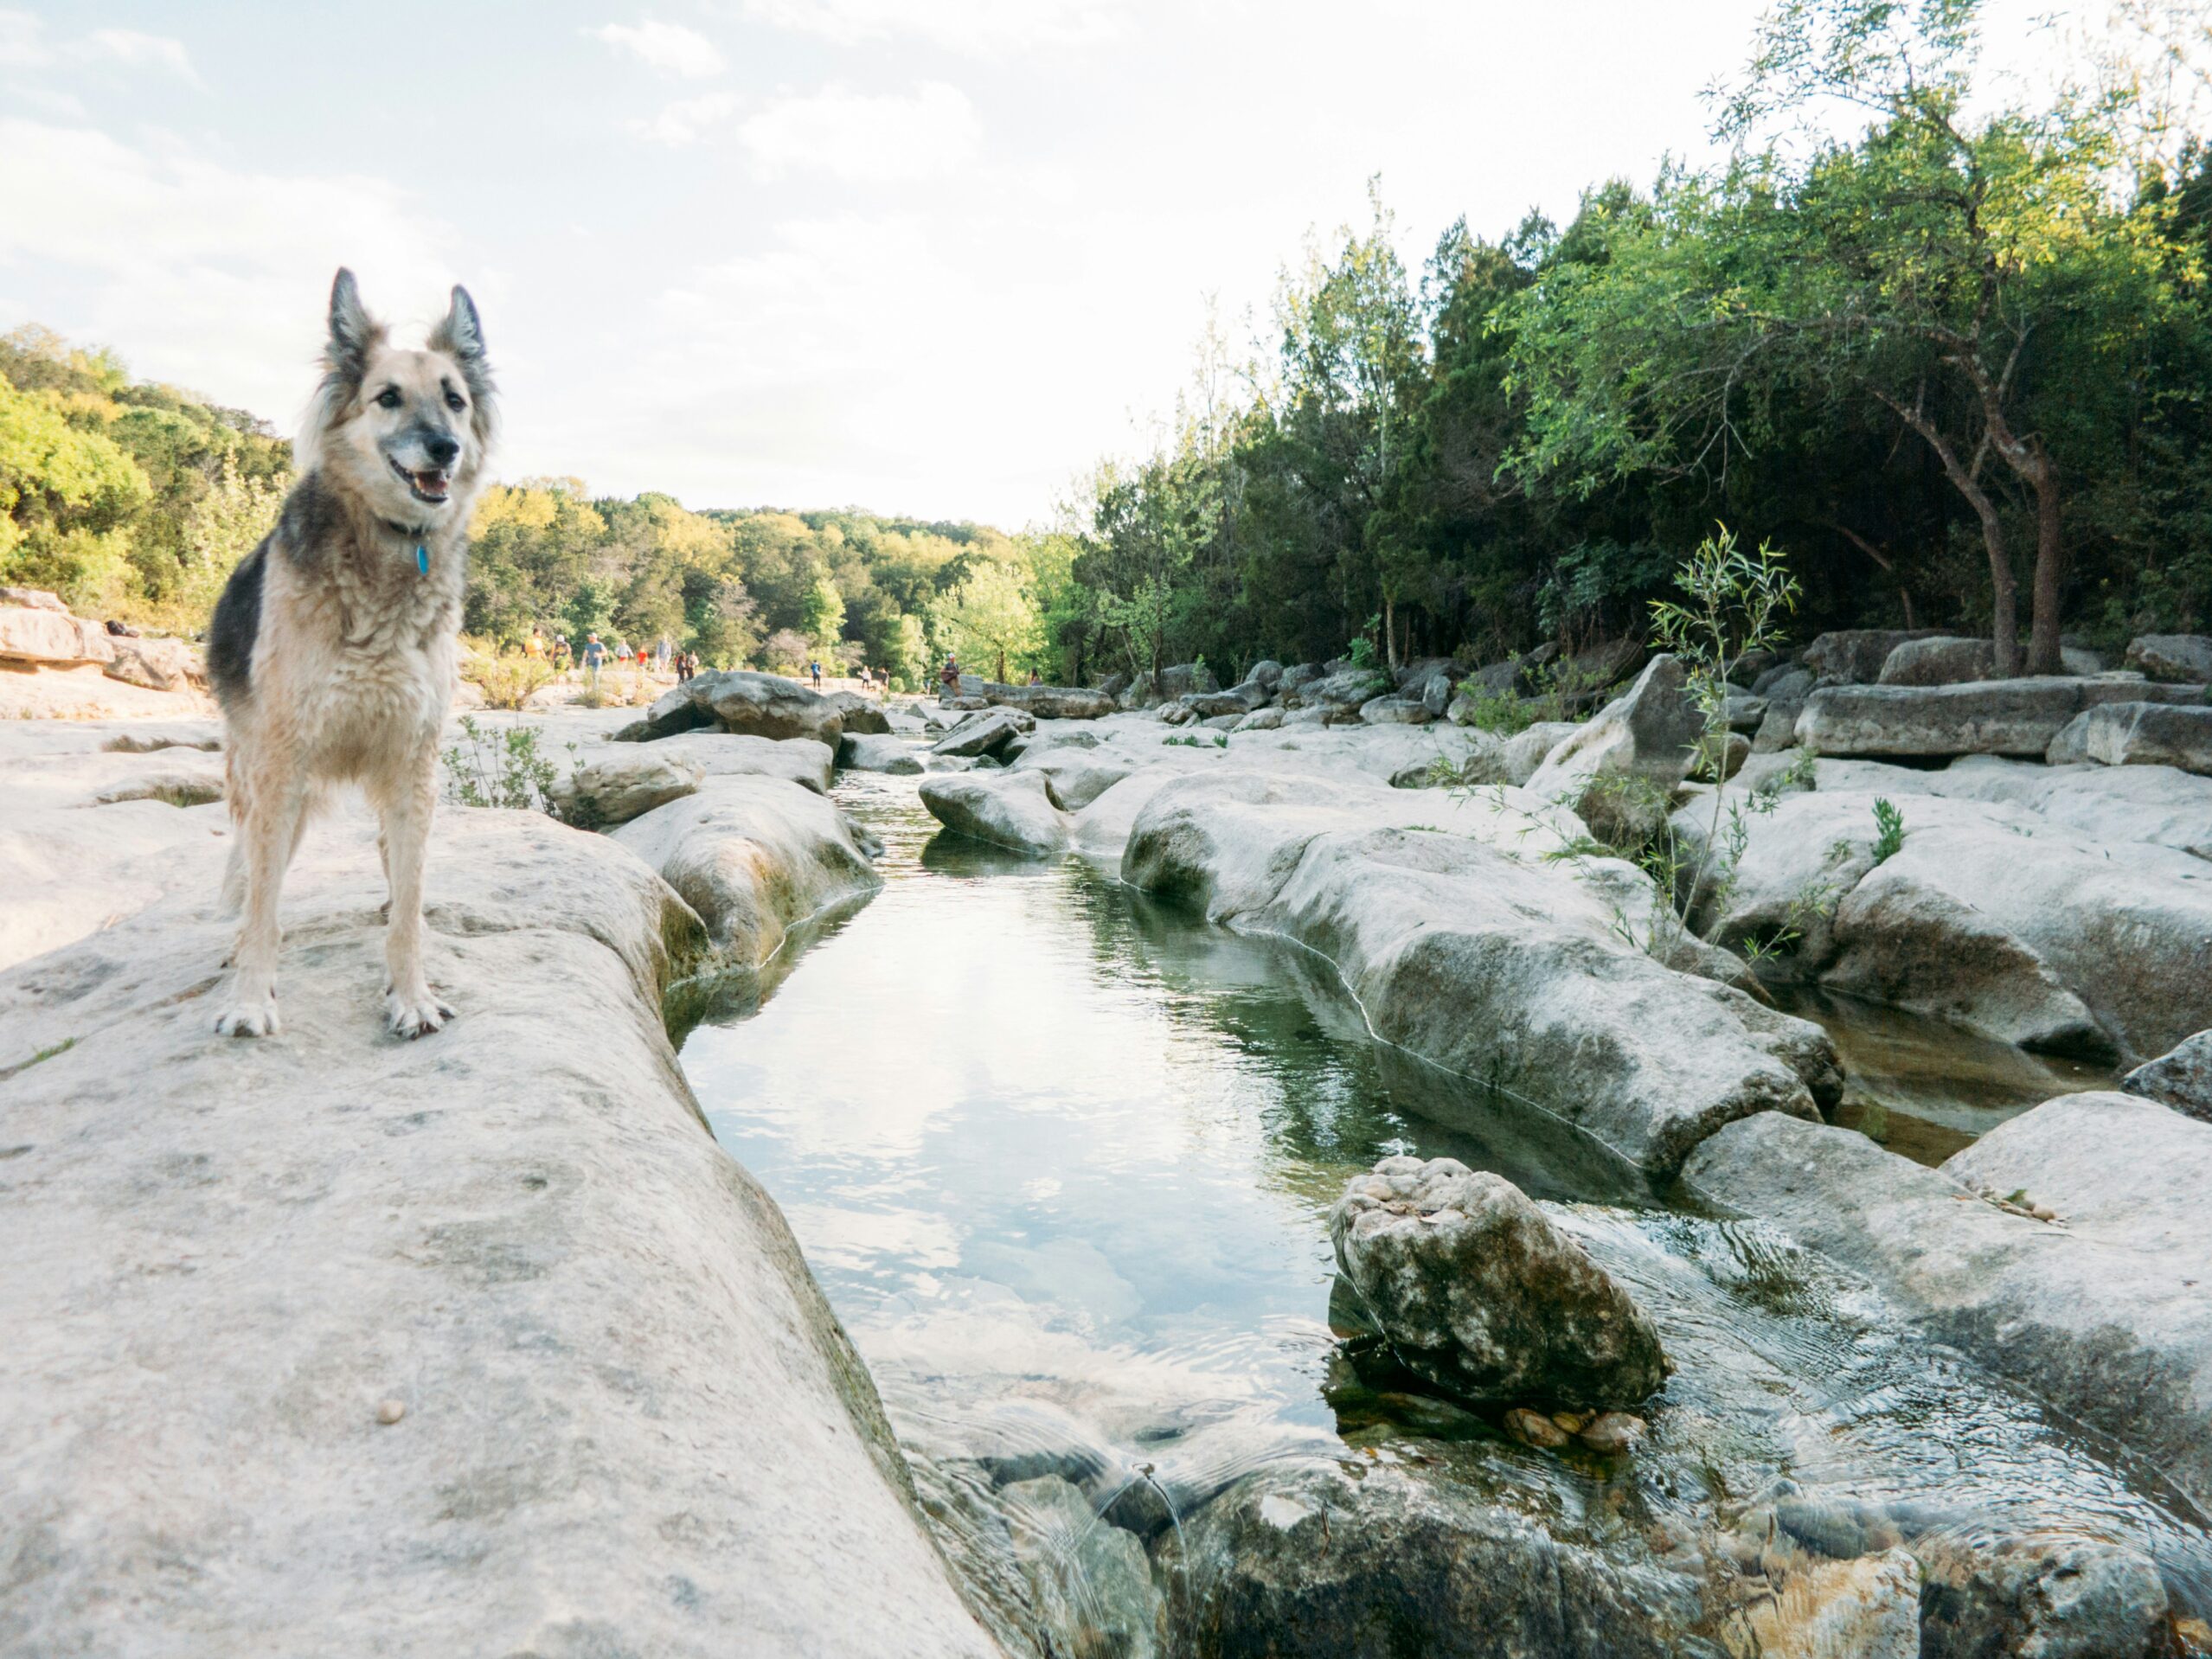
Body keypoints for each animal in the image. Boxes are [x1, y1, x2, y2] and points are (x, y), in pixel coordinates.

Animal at [207, 271, 497, 1039]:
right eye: (387, 397)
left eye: (455, 400)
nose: (444, 448)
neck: (386, 550)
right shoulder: (283, 763)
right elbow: (265, 904)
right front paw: (250, 998)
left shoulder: (412, 761)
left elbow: (410, 906)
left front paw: (411, 993)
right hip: (260, 774)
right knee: (248, 863)